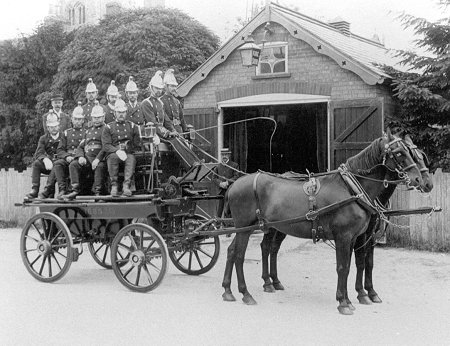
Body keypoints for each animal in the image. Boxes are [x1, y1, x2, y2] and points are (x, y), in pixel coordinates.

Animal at [223, 131, 424, 314]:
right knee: (240, 255)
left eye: (412, 153)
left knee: (236, 251)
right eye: (399, 153)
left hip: (260, 228)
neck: (351, 189)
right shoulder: (344, 236)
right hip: (244, 228)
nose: (420, 180)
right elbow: (344, 267)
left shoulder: (355, 237)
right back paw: (246, 293)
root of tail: (234, 185)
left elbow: (352, 265)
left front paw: (351, 298)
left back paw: (229, 290)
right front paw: (344, 302)